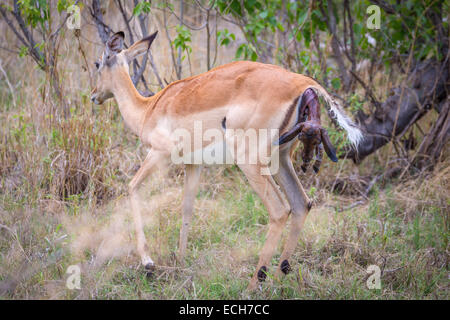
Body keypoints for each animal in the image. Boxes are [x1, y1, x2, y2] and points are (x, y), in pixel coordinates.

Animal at [89, 31, 362, 292]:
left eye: (97, 63)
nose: (94, 95)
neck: (148, 109)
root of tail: (304, 83)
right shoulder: (193, 164)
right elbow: (187, 206)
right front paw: (181, 260)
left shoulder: (159, 154)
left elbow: (132, 188)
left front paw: (148, 263)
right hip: (282, 159)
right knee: (301, 204)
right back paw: (277, 278)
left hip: (250, 162)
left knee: (279, 209)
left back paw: (253, 284)